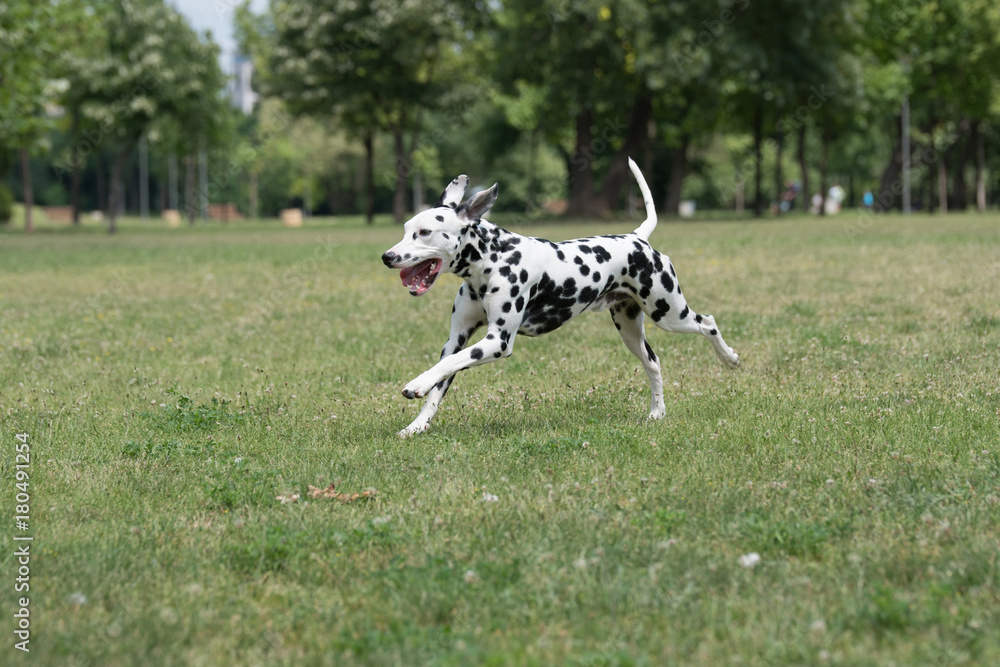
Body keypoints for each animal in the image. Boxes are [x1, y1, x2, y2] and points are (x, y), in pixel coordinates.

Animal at [378, 158, 740, 438]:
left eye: (424, 233)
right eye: (406, 229)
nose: (387, 256)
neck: (492, 258)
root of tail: (638, 238)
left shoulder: (497, 342)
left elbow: (443, 368)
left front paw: (416, 384)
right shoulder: (457, 339)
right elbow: (440, 380)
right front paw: (416, 425)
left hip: (670, 314)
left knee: (708, 323)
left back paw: (729, 359)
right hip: (630, 330)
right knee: (654, 363)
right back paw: (657, 412)